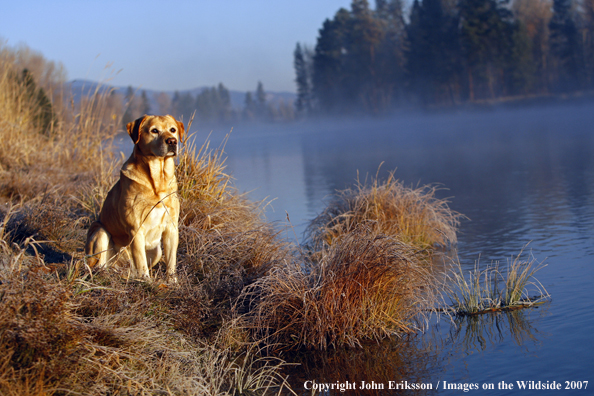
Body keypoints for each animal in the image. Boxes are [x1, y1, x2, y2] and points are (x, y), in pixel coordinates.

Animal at [85, 113, 183, 282]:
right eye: (154, 130)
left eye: (173, 130)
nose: (172, 141)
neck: (158, 182)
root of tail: (120, 266)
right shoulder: (136, 229)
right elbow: (141, 261)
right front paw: (147, 282)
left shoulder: (171, 228)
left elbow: (171, 261)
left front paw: (173, 282)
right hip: (100, 231)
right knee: (99, 264)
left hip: (156, 251)